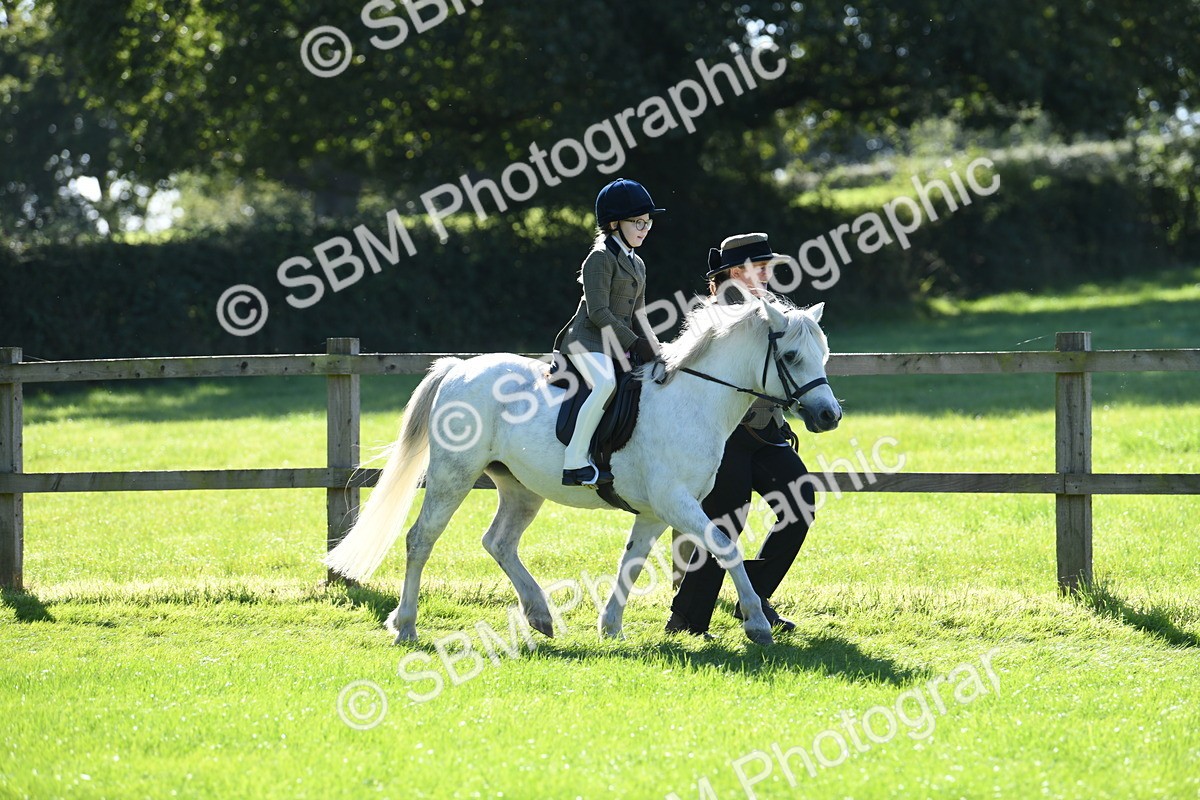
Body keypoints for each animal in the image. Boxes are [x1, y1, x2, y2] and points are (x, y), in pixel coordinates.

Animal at [324, 297, 842, 645]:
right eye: (791, 357)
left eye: (823, 354)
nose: (828, 416)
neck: (694, 399)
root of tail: (458, 369)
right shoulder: (677, 502)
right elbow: (725, 546)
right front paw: (756, 622)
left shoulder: (656, 512)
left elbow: (632, 561)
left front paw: (610, 626)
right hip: (455, 475)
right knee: (421, 539)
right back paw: (406, 626)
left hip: (520, 487)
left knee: (498, 542)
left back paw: (539, 615)